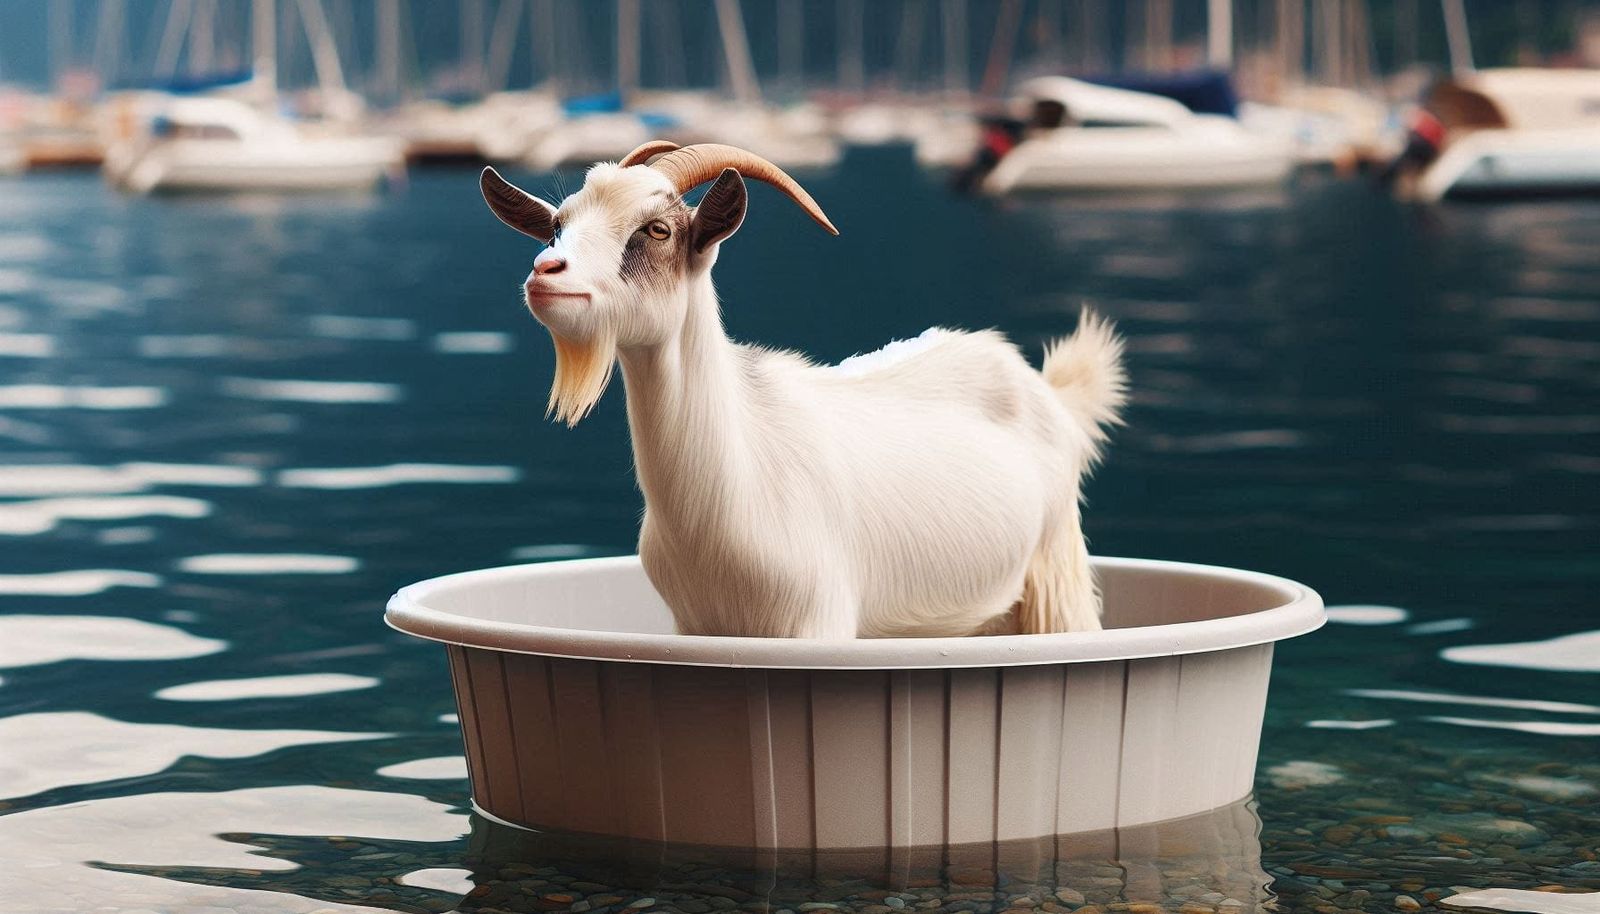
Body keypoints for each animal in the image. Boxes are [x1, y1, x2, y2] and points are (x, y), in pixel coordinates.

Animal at [480, 142, 1125, 638]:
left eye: (657, 228)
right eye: (559, 225)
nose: (545, 272)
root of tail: (1049, 391)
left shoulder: (817, 621)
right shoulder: (696, 626)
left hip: (1056, 573)